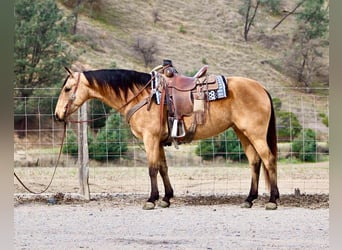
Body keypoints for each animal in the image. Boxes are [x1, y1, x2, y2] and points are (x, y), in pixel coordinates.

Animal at [54, 62, 280, 209]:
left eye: (67, 89)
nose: (57, 115)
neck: (144, 96)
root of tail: (261, 88)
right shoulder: (159, 141)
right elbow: (163, 168)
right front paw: (166, 198)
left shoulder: (150, 139)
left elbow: (152, 169)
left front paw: (151, 200)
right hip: (242, 133)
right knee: (255, 162)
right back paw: (249, 199)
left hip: (255, 133)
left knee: (268, 159)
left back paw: (272, 200)